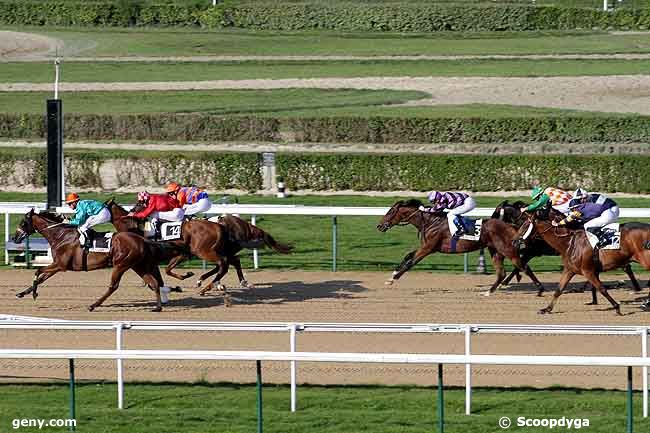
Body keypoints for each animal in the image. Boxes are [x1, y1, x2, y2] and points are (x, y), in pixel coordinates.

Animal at [12, 209, 187, 310]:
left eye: (23, 222)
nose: (14, 237)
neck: (60, 235)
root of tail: (142, 239)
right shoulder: (57, 266)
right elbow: (41, 277)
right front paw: (21, 293)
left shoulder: (60, 265)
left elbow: (37, 272)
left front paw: (34, 294)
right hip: (138, 265)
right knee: (154, 283)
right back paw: (157, 307)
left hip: (121, 265)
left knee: (113, 286)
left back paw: (93, 305)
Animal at [374, 199, 540, 294]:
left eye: (391, 211)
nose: (380, 226)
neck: (430, 221)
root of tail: (511, 226)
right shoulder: (425, 246)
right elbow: (408, 256)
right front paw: (392, 275)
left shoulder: (428, 248)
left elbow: (411, 262)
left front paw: (393, 278)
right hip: (495, 251)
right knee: (502, 273)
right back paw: (489, 291)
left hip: (507, 250)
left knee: (523, 266)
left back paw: (539, 289)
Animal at [520, 209, 650, 314]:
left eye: (525, 225)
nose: (517, 240)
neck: (569, 242)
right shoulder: (570, 269)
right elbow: (559, 289)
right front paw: (546, 309)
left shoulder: (588, 271)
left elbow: (601, 288)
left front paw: (616, 307)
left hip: (645, 260)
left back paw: (646, 302)